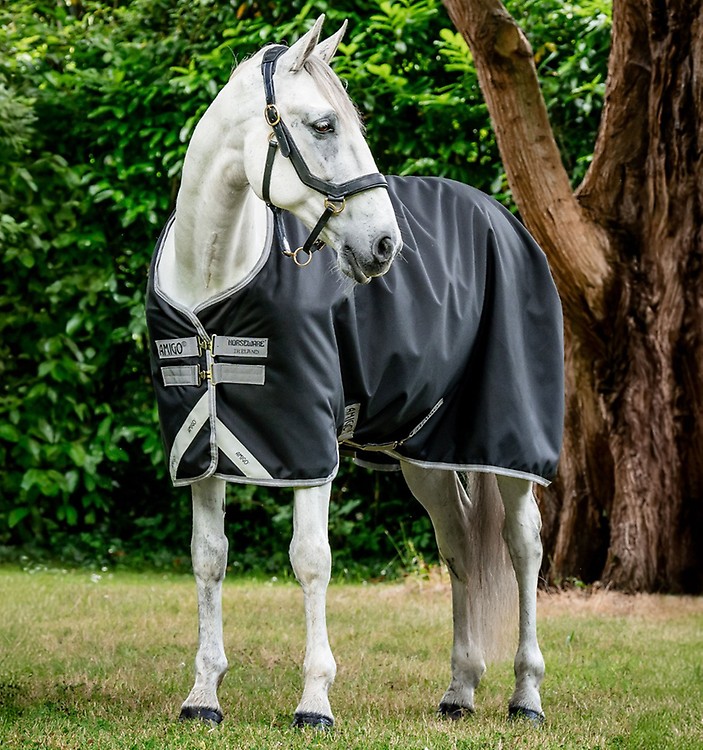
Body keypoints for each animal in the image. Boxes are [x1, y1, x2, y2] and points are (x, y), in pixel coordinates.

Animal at [146, 15, 564, 729]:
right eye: (322, 125)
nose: (385, 246)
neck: (213, 279)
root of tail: (503, 218)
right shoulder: (202, 447)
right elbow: (208, 560)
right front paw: (203, 695)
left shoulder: (309, 445)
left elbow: (311, 561)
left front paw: (314, 701)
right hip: (427, 452)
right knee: (459, 547)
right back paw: (460, 689)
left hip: (507, 443)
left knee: (523, 546)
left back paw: (526, 695)